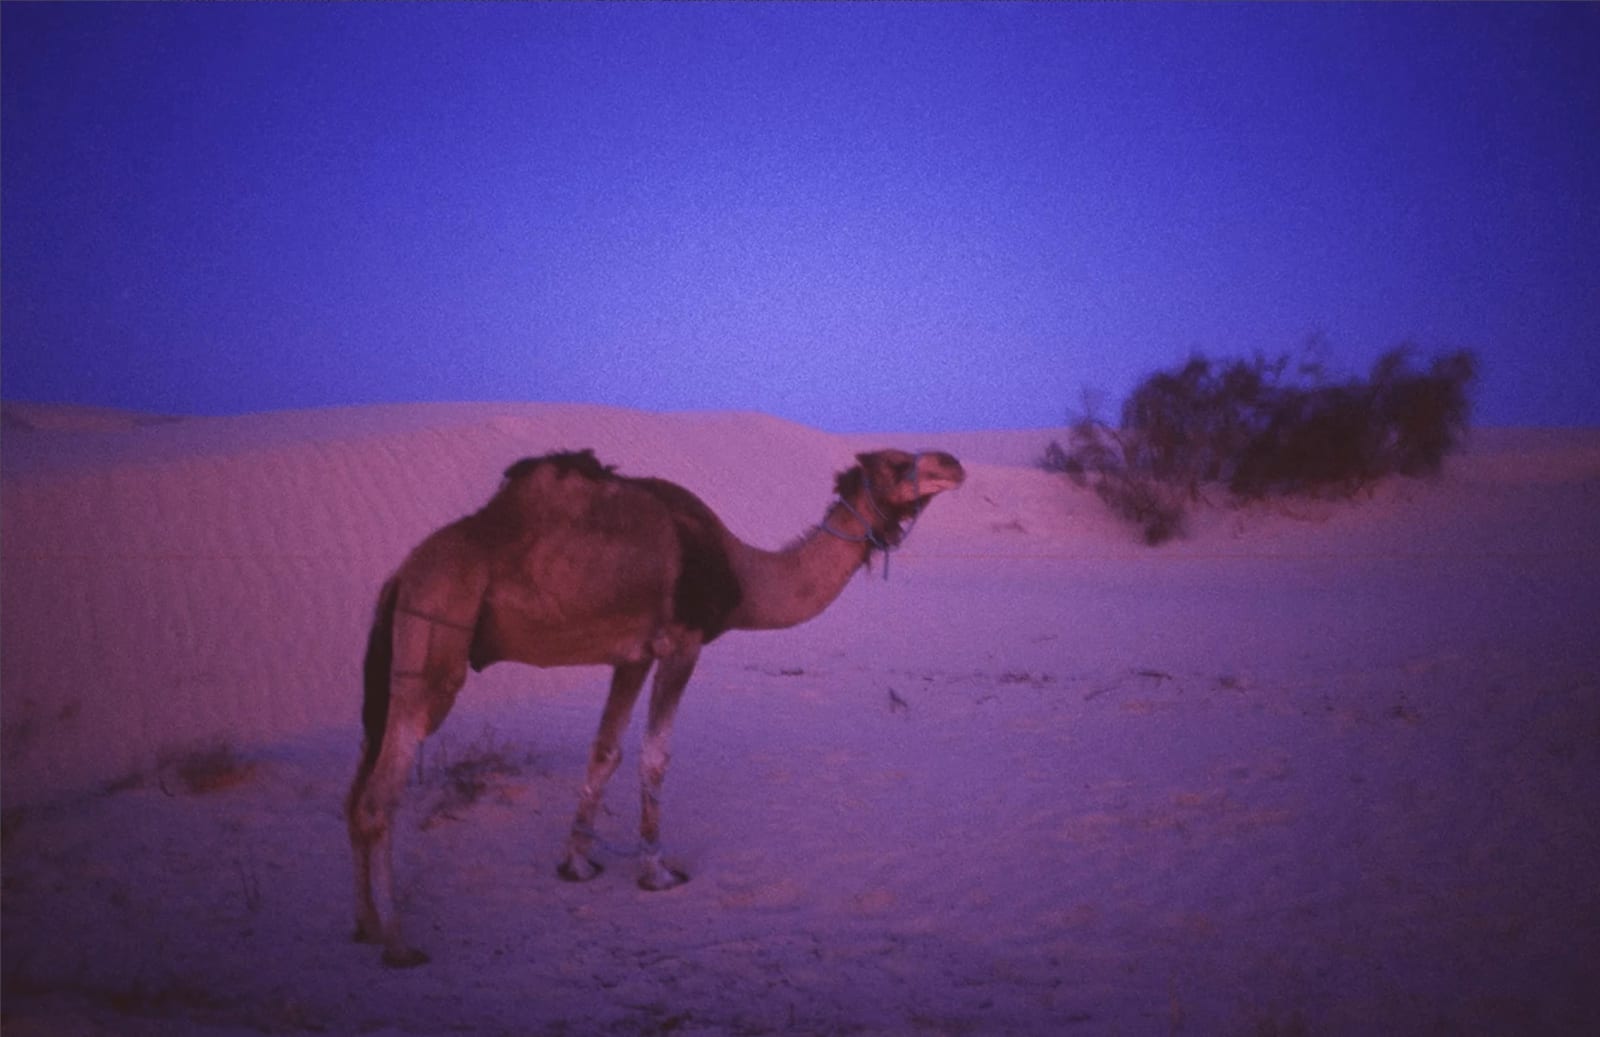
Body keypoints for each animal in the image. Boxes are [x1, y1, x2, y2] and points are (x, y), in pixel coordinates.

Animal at [346, 447, 965, 966]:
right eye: (895, 463)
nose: (953, 464)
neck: (743, 572)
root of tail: (401, 576)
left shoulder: (633, 654)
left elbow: (605, 751)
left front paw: (577, 864)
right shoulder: (681, 642)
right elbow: (654, 755)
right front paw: (657, 872)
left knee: (357, 788)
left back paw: (365, 926)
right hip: (437, 632)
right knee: (380, 794)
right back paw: (398, 942)